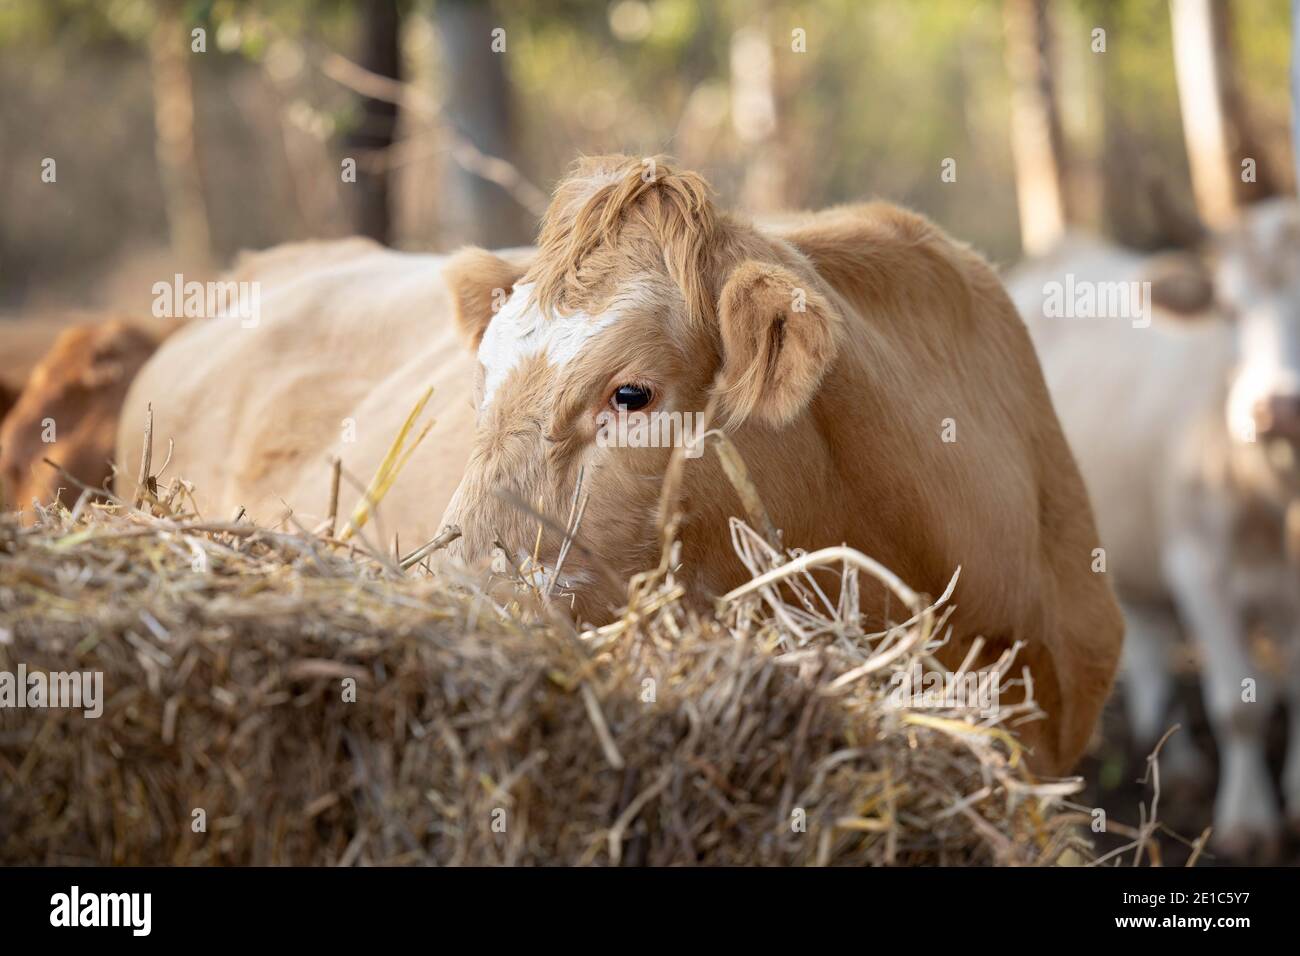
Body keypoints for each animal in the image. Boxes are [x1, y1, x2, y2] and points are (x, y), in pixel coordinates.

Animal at [1008, 196, 1300, 858]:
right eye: (1230, 309)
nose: (1277, 408)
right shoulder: (1199, 566)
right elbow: (1237, 704)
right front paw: (1247, 823)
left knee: (1146, 634)